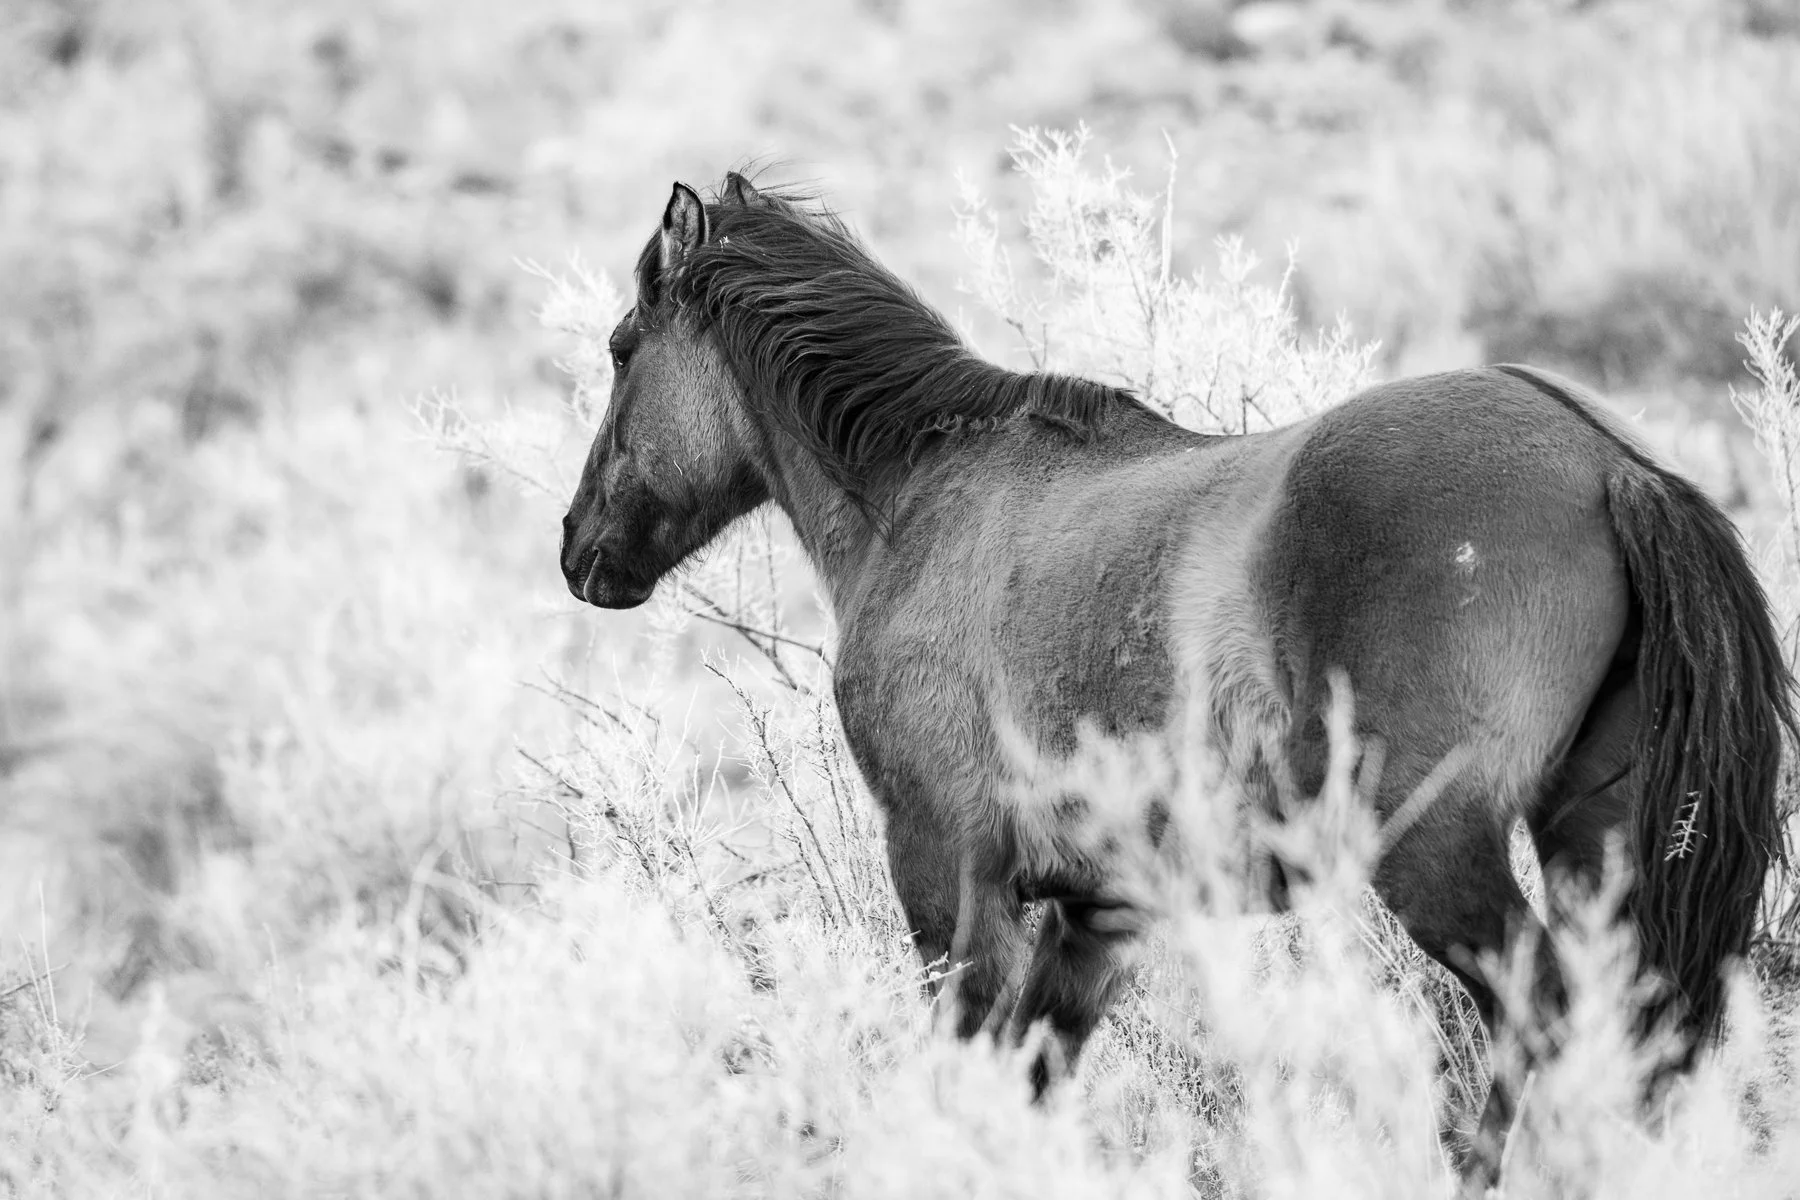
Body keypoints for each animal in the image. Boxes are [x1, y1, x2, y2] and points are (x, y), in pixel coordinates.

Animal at [558, 173, 1795, 1186]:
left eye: (623, 347)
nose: (580, 550)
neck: (924, 497)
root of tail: (1611, 465)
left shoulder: (946, 876)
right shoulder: (1098, 917)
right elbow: (1033, 1085)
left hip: (1438, 854)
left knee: (1542, 1020)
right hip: (1592, 841)